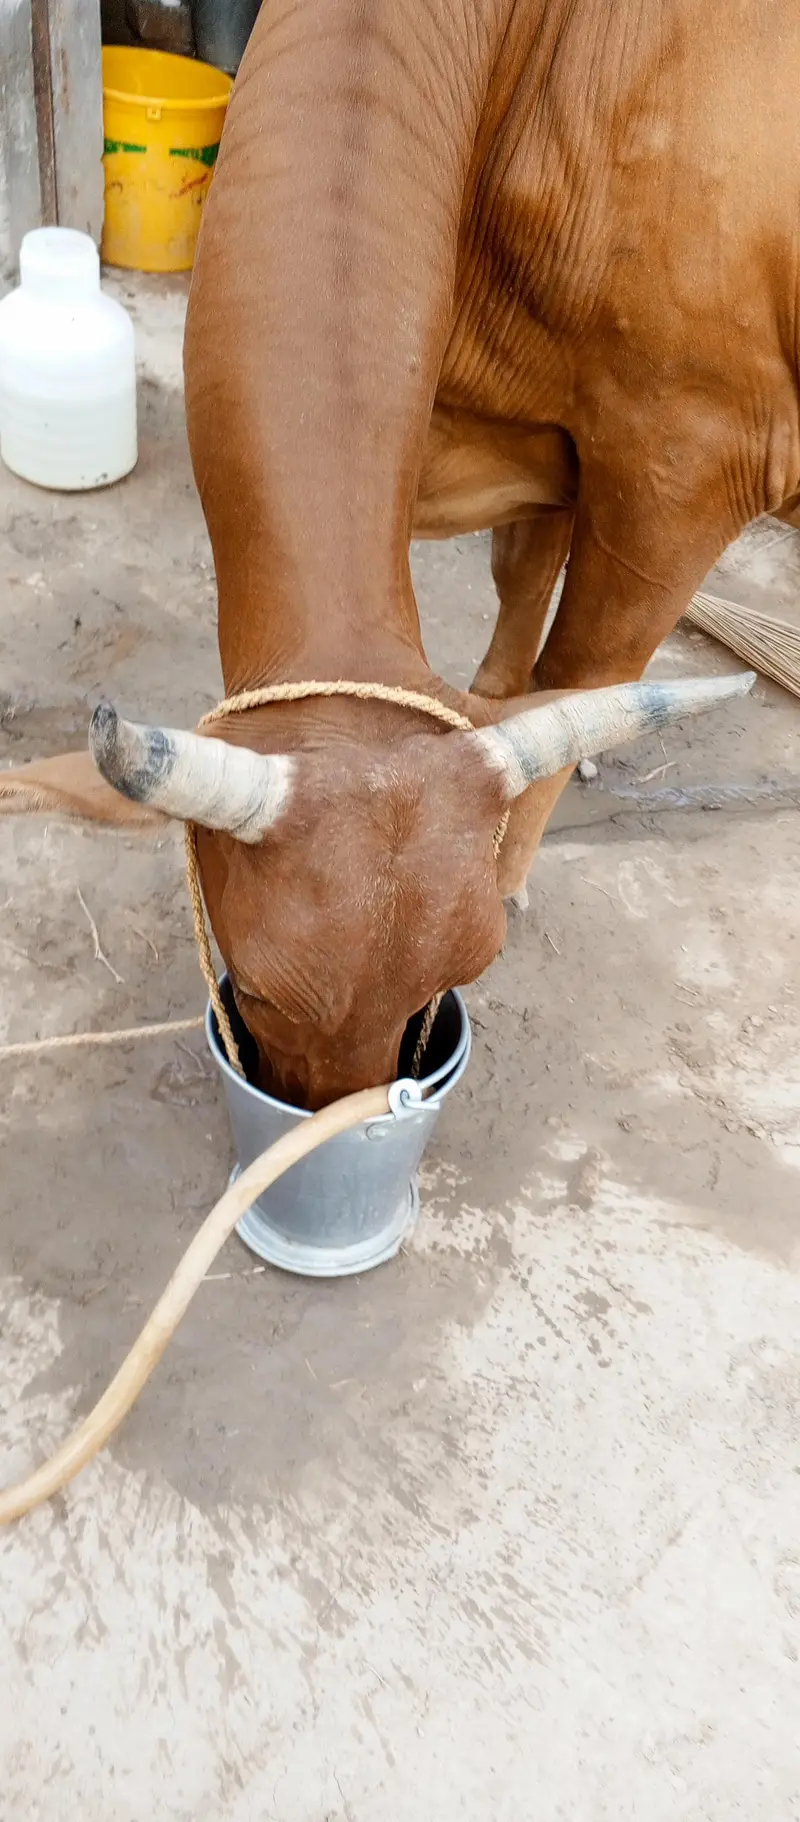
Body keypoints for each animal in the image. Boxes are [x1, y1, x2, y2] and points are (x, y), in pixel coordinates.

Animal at [1, 0, 785, 1109]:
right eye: (256, 989)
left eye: (466, 972)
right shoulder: (558, 448)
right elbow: (519, 624)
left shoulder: (687, 465)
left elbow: (584, 666)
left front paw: (514, 867)